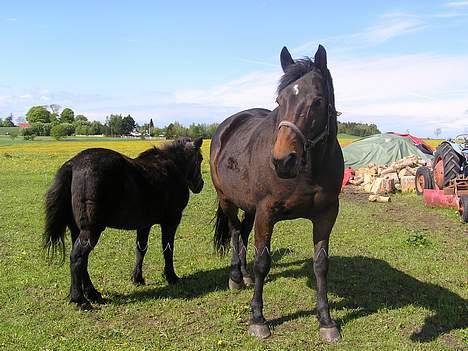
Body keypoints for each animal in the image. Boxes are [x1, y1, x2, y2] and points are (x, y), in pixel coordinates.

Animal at [43, 138, 203, 310]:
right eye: (200, 158)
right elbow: (168, 250)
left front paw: (137, 278)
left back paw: (93, 294)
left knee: (83, 262)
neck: (171, 167)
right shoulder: (171, 221)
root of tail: (72, 164)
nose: (200, 184)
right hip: (91, 231)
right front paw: (171, 276)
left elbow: (141, 249)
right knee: (77, 259)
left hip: (77, 230)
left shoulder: (144, 225)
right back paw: (80, 299)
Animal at [212, 45, 344, 342]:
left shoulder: (326, 215)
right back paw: (236, 277)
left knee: (243, 234)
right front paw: (258, 319)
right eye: (279, 100)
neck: (308, 171)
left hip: (248, 207)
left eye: (318, 101)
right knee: (235, 232)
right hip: (227, 200)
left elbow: (321, 265)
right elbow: (263, 262)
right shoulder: (266, 212)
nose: (283, 161)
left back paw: (244, 275)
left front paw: (326, 321)